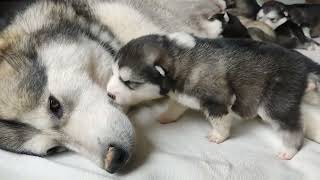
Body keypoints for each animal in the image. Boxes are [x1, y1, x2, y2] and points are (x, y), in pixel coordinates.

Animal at [107, 31, 320, 160]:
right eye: (114, 73)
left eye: (129, 82)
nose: (109, 94)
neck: (178, 58)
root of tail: (302, 64)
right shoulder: (182, 96)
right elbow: (176, 106)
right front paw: (166, 117)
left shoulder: (217, 100)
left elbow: (220, 120)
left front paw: (219, 136)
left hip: (275, 103)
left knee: (293, 127)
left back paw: (289, 150)